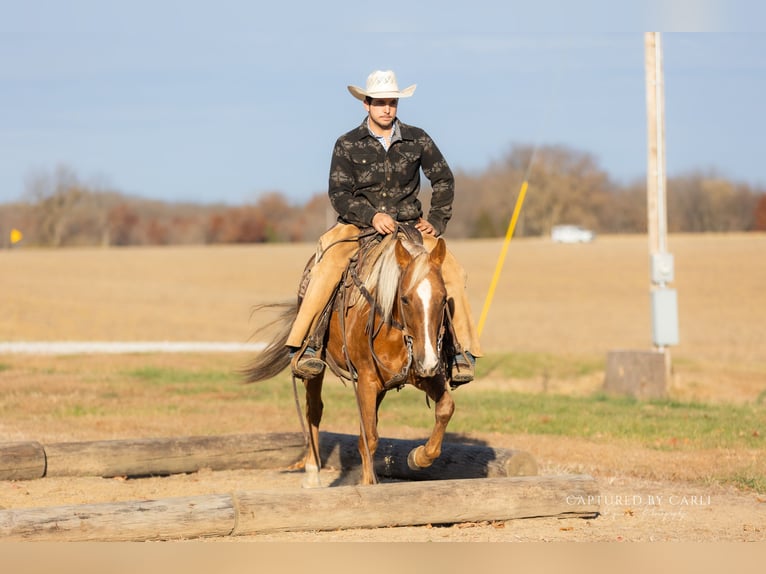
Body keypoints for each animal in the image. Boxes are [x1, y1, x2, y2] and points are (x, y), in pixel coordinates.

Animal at [243, 230, 457, 486]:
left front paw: (419, 457)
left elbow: (445, 407)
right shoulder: (366, 380)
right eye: (405, 299)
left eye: (443, 298)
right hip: (318, 371)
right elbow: (369, 439)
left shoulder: (421, 376)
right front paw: (367, 484)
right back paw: (312, 474)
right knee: (314, 409)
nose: (429, 362)